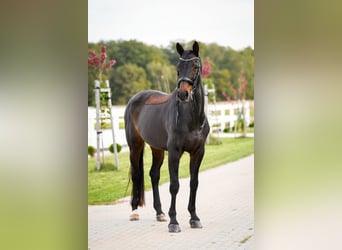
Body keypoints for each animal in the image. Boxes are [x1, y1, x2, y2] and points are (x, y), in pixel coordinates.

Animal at [124, 41, 210, 232]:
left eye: (195, 66)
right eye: (178, 68)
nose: (183, 94)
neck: (191, 118)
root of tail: (134, 99)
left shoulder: (198, 152)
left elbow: (194, 183)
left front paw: (194, 218)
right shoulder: (174, 152)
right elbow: (174, 185)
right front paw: (174, 222)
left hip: (157, 149)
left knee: (153, 175)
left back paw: (160, 213)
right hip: (135, 146)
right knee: (136, 174)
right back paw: (134, 212)